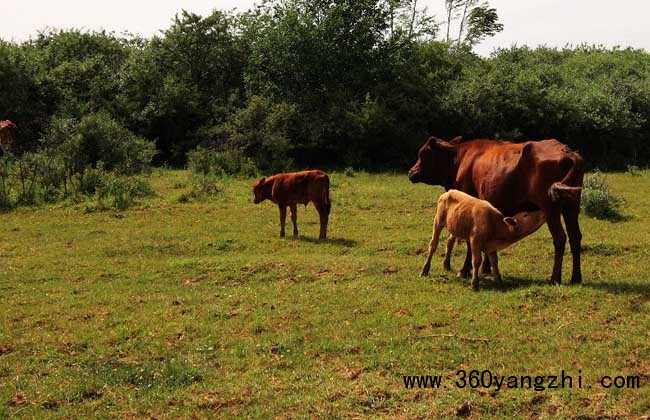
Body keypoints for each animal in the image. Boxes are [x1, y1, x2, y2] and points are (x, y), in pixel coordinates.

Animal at [404, 138, 584, 286]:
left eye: (423, 154)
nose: (410, 172)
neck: (460, 160)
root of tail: (567, 151)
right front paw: (486, 268)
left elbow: (470, 245)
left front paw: (465, 270)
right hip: (572, 207)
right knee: (575, 236)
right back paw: (576, 278)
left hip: (550, 208)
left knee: (560, 238)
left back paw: (555, 278)